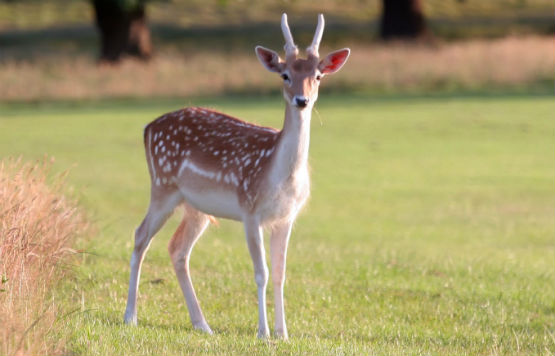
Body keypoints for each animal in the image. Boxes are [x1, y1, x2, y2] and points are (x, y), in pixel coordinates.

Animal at [125, 11, 352, 340]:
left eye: (318, 76)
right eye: (285, 74)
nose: (302, 100)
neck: (279, 176)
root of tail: (147, 128)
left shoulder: (286, 217)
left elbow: (281, 273)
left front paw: (283, 333)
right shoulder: (250, 210)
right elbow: (261, 273)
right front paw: (263, 332)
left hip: (196, 207)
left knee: (177, 249)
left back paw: (202, 324)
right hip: (162, 186)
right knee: (140, 236)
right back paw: (130, 316)